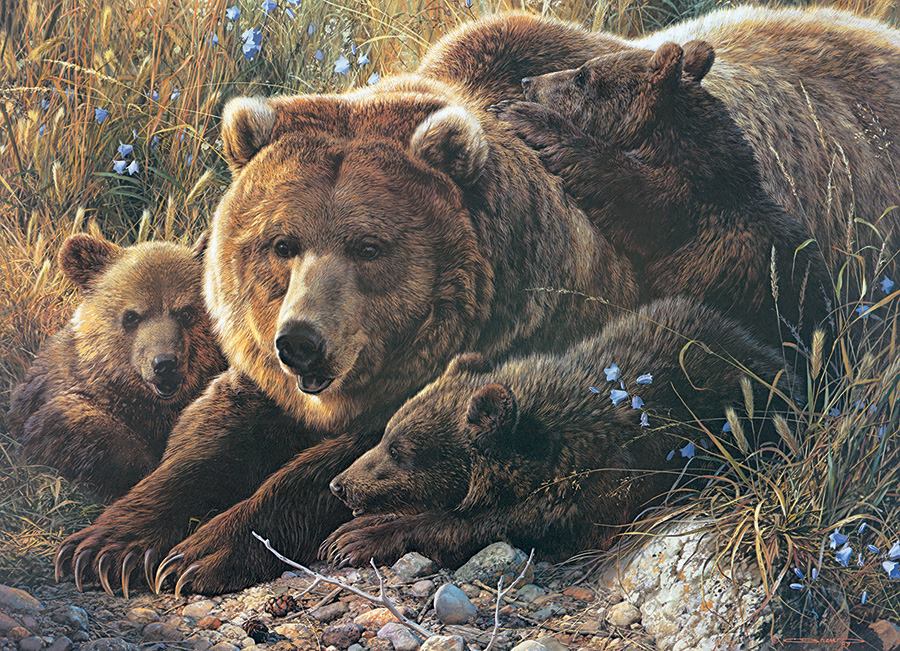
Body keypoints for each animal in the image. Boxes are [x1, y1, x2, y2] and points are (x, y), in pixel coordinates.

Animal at [53, 76, 639, 595]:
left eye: (368, 247)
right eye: (282, 243)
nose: (300, 343)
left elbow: (351, 465)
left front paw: (201, 553)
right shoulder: (262, 382)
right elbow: (206, 440)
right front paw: (104, 547)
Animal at [322, 297, 790, 567]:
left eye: (400, 450)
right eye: (386, 435)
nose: (339, 484)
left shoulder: (587, 494)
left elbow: (478, 526)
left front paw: (357, 539)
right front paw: (350, 532)